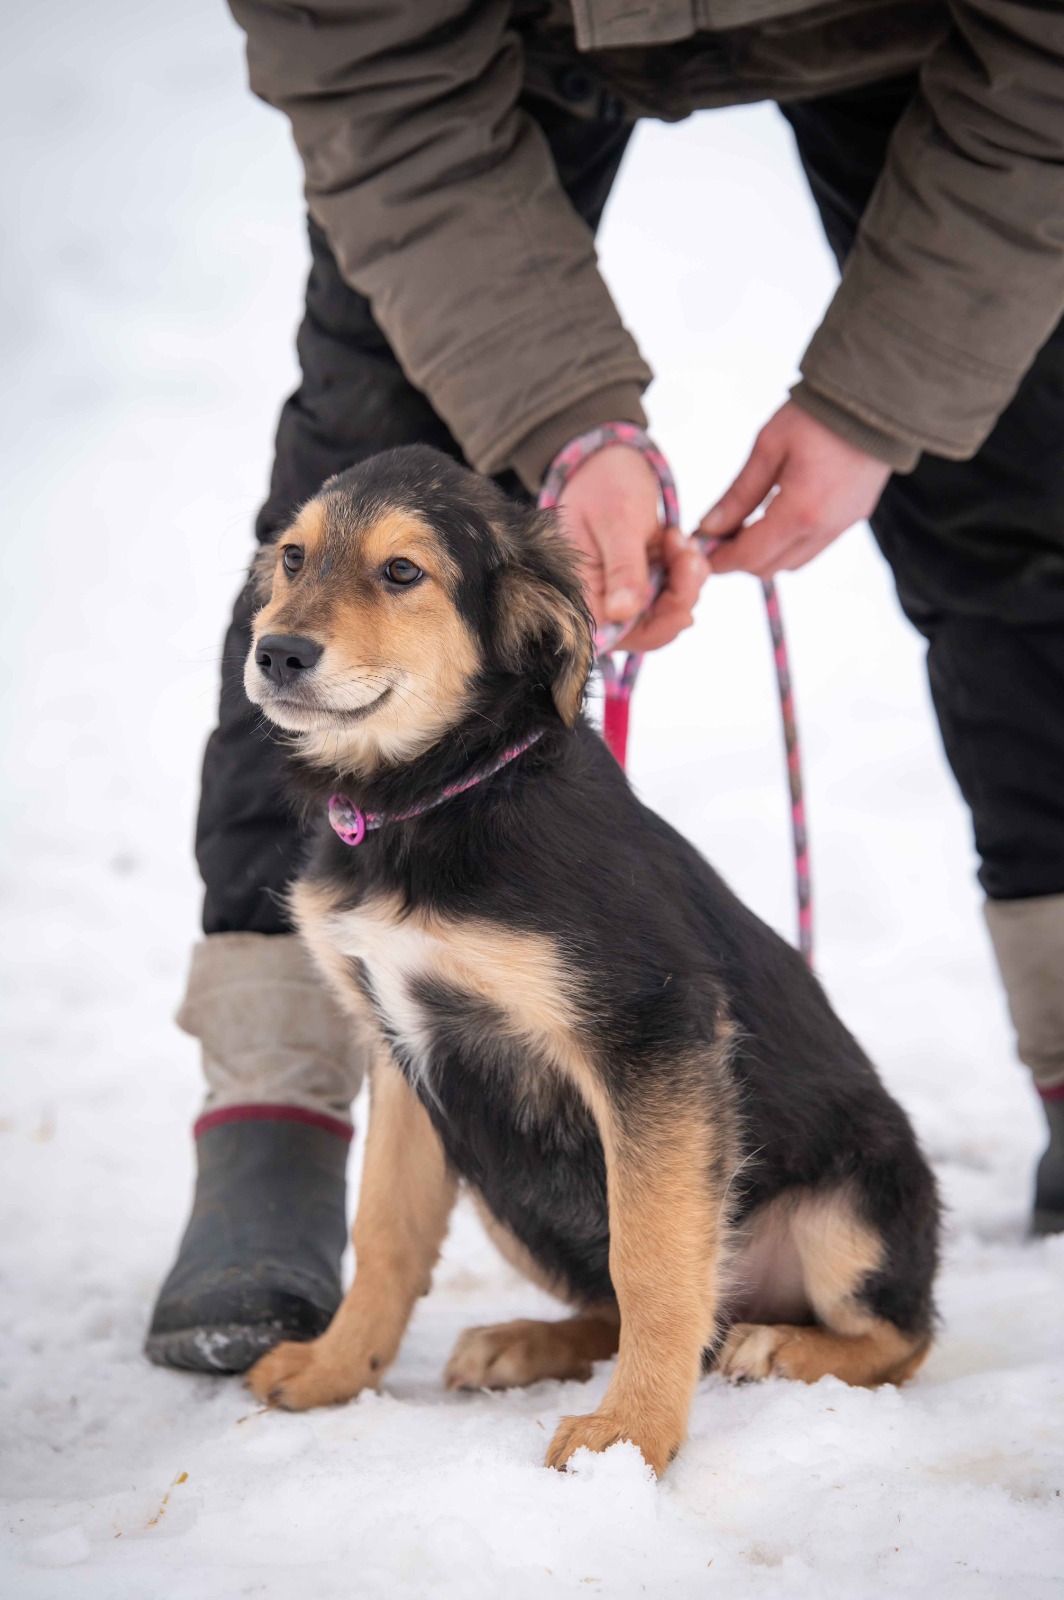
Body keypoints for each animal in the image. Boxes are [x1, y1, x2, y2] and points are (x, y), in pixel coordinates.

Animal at [242, 445, 940, 1475]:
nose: (277, 653)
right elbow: (386, 1232)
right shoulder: (402, 1052)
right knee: (616, 1307)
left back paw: (779, 1347)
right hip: (498, 1177)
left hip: (855, 1201)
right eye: (292, 558)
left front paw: (630, 1437)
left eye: (402, 571)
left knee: (899, 1335)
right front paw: (337, 1369)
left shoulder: (650, 1032)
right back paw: (524, 1342)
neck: (437, 797)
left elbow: (651, 1259)